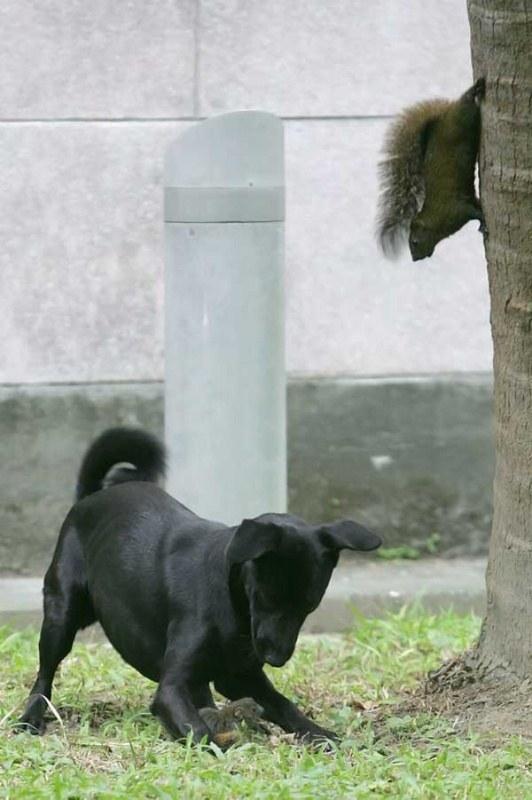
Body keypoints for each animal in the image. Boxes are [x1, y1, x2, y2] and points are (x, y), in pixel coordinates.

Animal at [17, 428, 382, 748]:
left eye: (309, 607)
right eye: (265, 597)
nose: (276, 658)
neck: (233, 601)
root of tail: (91, 497)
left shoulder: (240, 675)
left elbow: (282, 704)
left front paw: (321, 734)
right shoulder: (171, 688)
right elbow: (199, 731)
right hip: (61, 615)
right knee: (45, 674)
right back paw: (30, 717)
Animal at [374, 77, 486, 260]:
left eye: (414, 242)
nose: (415, 259)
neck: (434, 217)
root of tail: (445, 114)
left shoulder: (456, 208)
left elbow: (474, 212)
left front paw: (483, 221)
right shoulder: (465, 202)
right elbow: (476, 205)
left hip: (463, 118)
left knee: (466, 102)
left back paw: (475, 89)